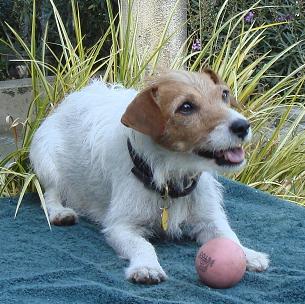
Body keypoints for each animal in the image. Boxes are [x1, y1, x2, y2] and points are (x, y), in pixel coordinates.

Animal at [29, 70, 268, 284]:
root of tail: (68, 100)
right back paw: (60, 213)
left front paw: (248, 254)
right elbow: (143, 245)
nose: (243, 126)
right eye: (186, 107)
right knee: (50, 194)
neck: (171, 176)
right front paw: (146, 267)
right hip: (47, 162)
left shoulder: (209, 218)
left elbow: (229, 235)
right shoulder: (121, 227)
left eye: (224, 95)